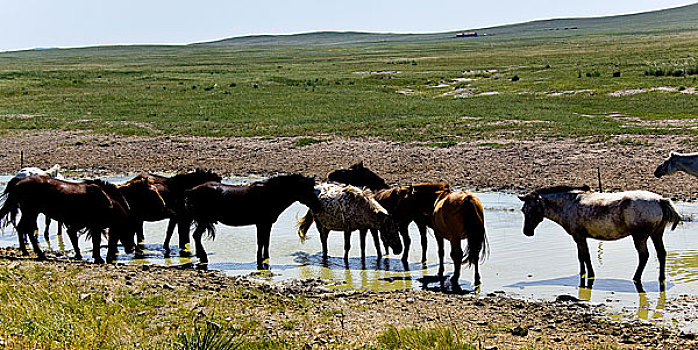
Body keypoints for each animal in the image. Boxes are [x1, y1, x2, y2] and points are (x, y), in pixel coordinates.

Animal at [0, 175, 139, 262]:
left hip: (29, 212)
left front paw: (80, 255)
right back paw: (39, 254)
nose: (131, 249)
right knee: (27, 230)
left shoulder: (81, 225)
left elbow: (75, 238)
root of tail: (19, 181)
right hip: (31, 212)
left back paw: (25, 251)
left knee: (21, 228)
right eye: (129, 230)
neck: (107, 201)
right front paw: (97, 258)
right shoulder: (94, 226)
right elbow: (95, 241)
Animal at [181, 173, 320, 268]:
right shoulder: (262, 224)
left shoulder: (265, 224)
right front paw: (261, 261)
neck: (270, 195)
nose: (318, 205)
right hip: (203, 220)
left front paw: (265, 259)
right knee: (196, 236)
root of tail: (191, 191)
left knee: (196, 236)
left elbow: (265, 243)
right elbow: (261, 243)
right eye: (307, 189)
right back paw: (203, 257)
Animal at [520, 185, 676, 292]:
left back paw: (636, 278)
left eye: (532, 209)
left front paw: (590, 275)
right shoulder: (579, 238)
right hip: (657, 234)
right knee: (661, 254)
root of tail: (659, 200)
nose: (527, 232)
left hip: (640, 237)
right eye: (523, 210)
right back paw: (661, 279)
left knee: (644, 256)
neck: (569, 203)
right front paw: (582, 274)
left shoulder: (579, 237)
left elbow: (585, 256)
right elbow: (581, 257)